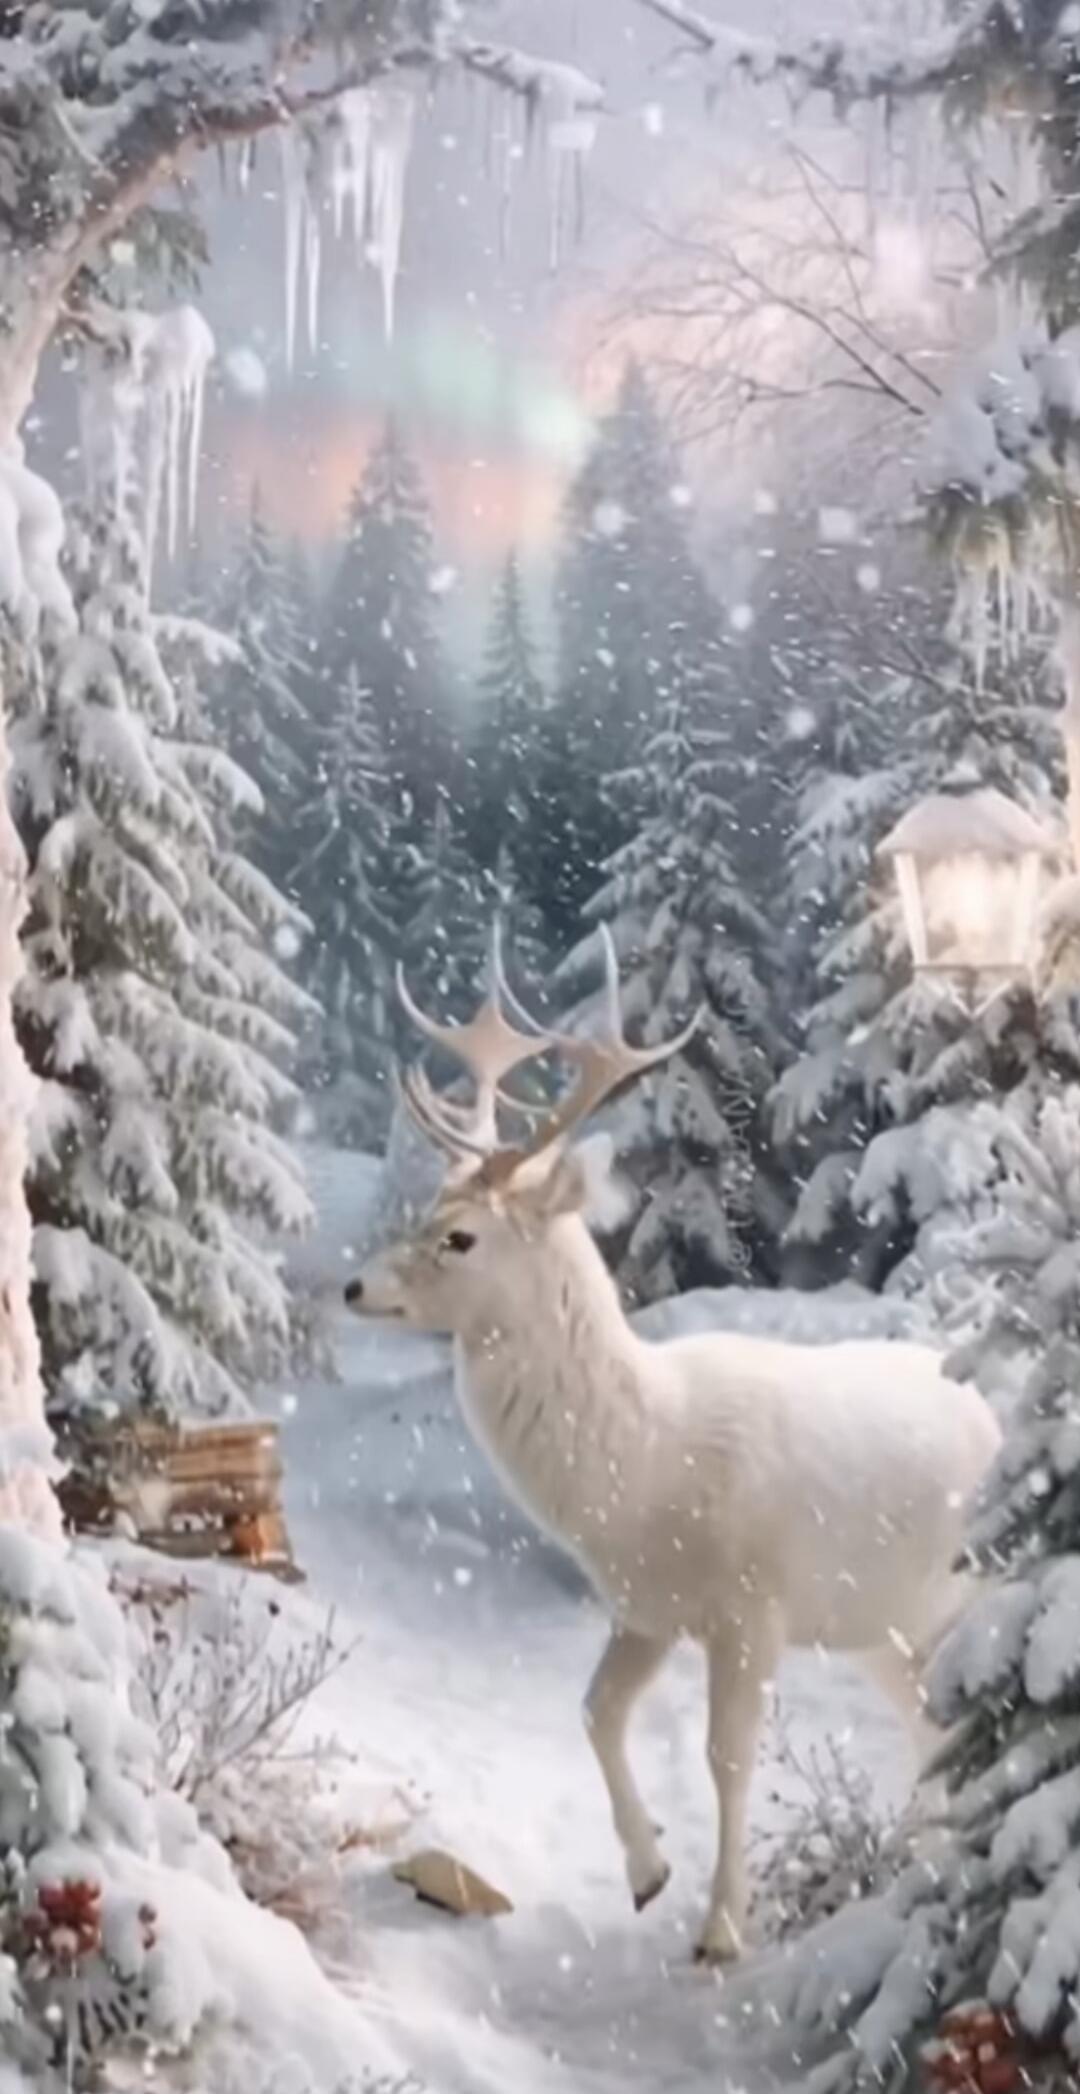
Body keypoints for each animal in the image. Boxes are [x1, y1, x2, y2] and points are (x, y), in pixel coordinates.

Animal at [344, 927, 1002, 1964]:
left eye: (460, 1238)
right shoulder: (646, 1606)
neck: (647, 1467)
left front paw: (722, 1929)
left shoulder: (753, 1605)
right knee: (932, 1733)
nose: (355, 1288)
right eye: (424, 1214)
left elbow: (726, 1756)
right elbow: (596, 1710)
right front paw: (648, 1872)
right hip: (889, 1629)